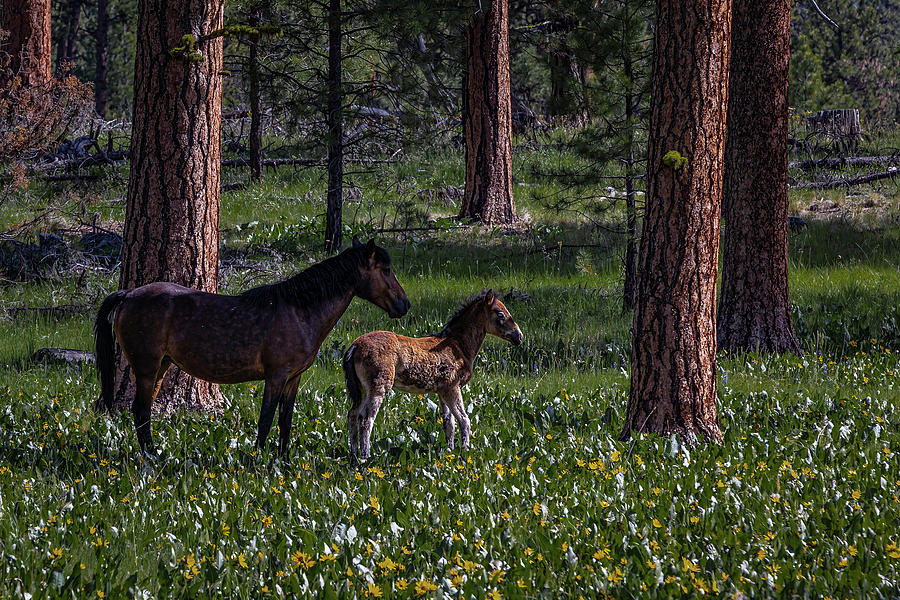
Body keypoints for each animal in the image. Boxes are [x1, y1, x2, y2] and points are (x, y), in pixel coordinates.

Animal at [94, 238, 410, 457]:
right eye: (386, 269)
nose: (404, 305)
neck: (299, 310)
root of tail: (128, 294)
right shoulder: (276, 376)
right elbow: (266, 420)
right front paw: (258, 461)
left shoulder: (293, 379)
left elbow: (285, 421)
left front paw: (284, 461)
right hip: (147, 368)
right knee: (140, 411)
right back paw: (151, 457)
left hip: (160, 366)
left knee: (143, 411)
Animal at [342, 289, 523, 459]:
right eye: (500, 314)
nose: (519, 337)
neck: (458, 345)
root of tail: (355, 346)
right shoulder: (452, 387)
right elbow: (464, 420)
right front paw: (465, 452)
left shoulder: (442, 391)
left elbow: (448, 422)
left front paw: (449, 452)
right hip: (378, 386)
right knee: (365, 419)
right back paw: (365, 457)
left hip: (362, 389)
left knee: (352, 415)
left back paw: (354, 456)